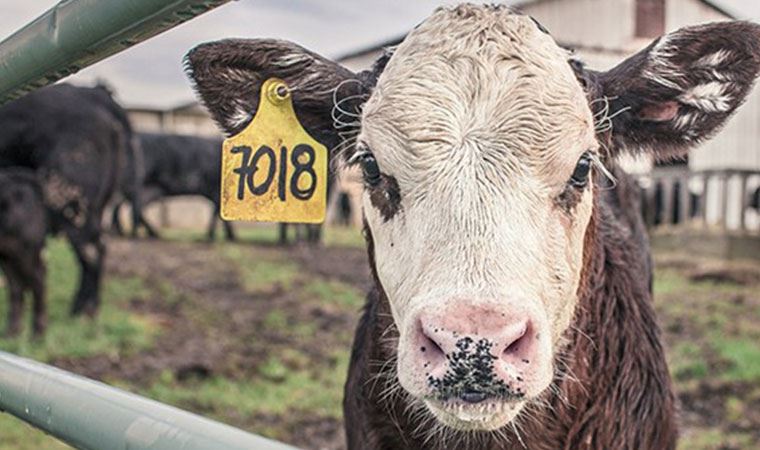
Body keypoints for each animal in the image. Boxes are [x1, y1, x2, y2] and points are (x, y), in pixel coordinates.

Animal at [0, 82, 132, 318]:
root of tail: (94, 94)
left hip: (69, 200)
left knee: (91, 251)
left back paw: (84, 309)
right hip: (94, 206)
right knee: (97, 248)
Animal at [0, 167, 47, 336]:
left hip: (26, 251)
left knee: (39, 279)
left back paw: (37, 333)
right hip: (8, 255)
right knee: (16, 285)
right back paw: (12, 332)